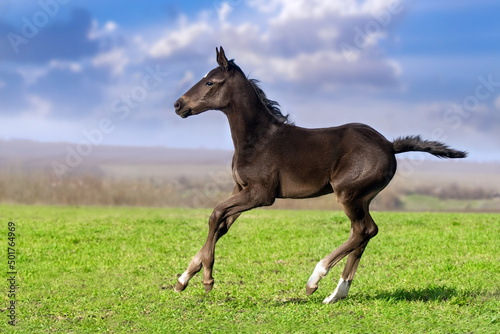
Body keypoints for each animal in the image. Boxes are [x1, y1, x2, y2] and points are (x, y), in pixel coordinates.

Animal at [172, 45, 464, 304]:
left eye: (210, 82)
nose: (178, 105)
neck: (258, 139)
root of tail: (390, 145)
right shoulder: (241, 189)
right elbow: (221, 225)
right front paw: (184, 279)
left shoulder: (261, 194)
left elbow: (216, 214)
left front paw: (207, 280)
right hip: (363, 198)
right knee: (365, 233)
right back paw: (337, 293)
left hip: (348, 193)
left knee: (364, 230)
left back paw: (314, 280)